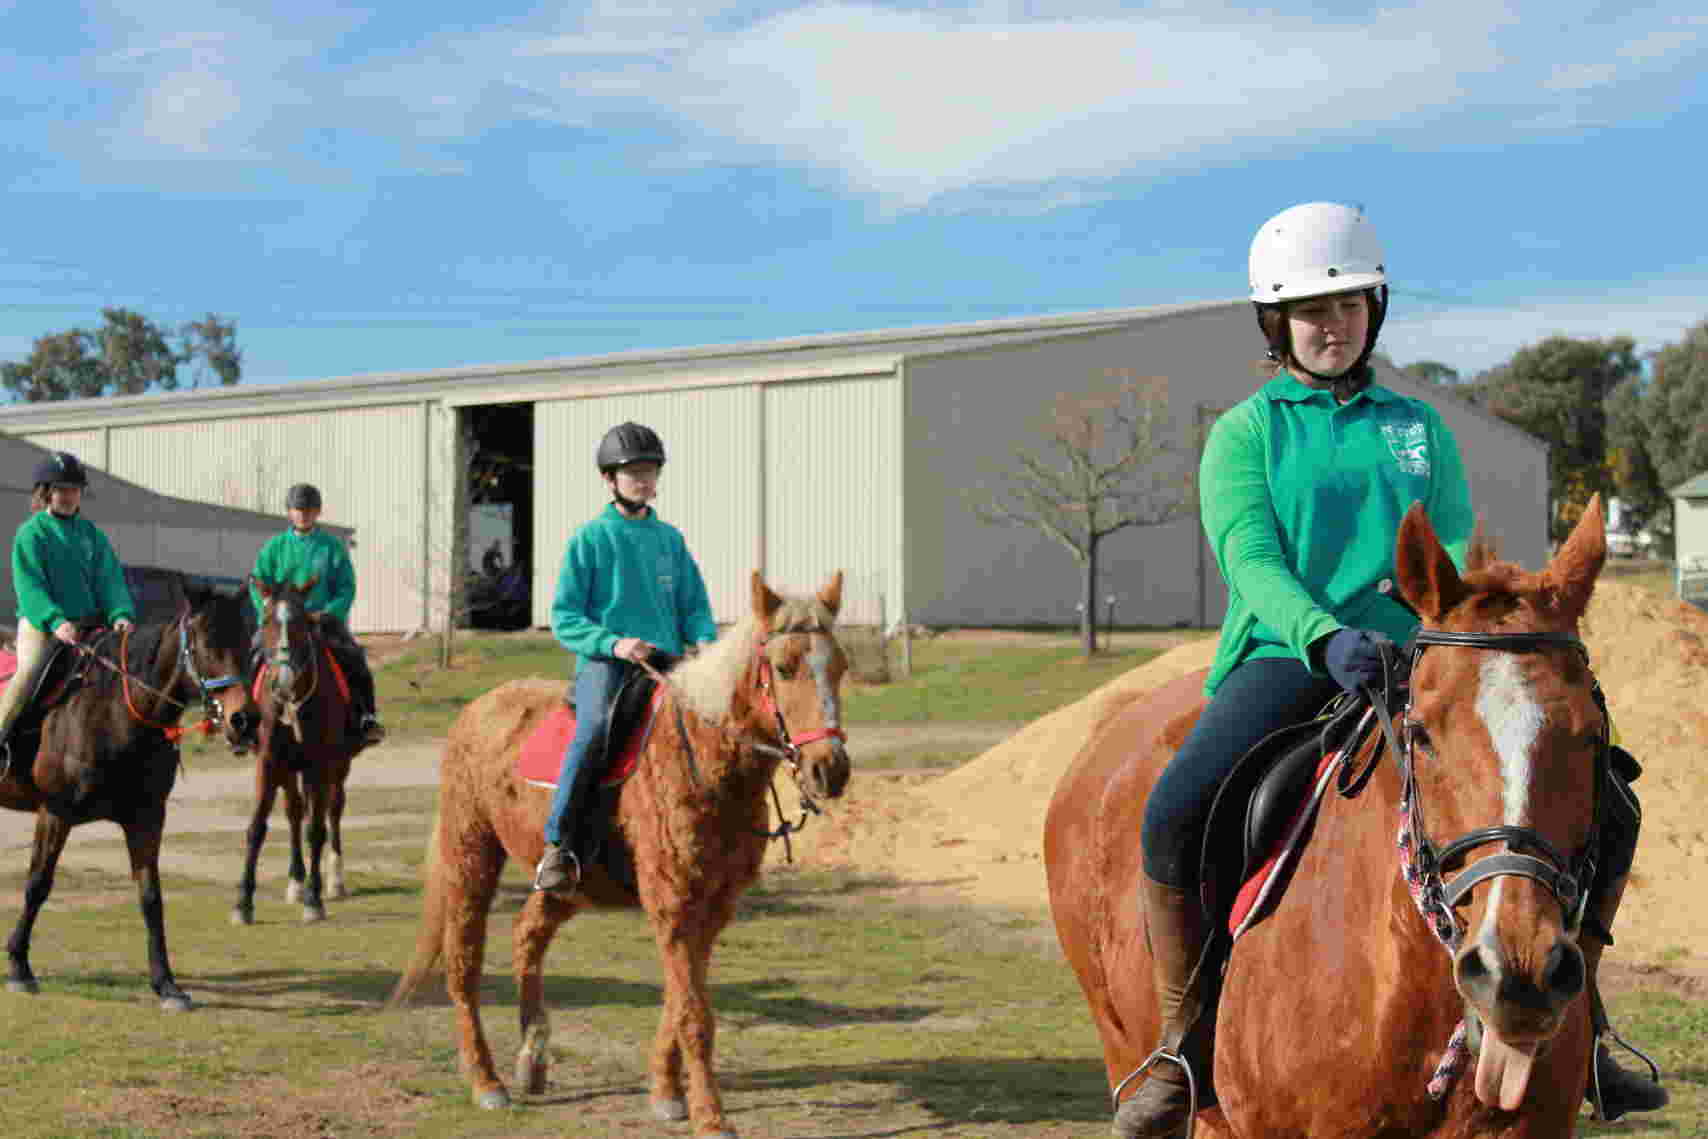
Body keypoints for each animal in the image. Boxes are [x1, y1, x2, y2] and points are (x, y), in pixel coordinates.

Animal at [0, 594, 259, 1010]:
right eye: (205, 645)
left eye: (247, 642)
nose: (245, 721)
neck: (112, 710)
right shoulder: (55, 813)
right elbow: (37, 885)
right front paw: (20, 968)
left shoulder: (147, 818)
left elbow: (151, 897)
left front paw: (166, 984)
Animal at [233, 580, 363, 928]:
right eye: (266, 621)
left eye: (302, 623)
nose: (283, 679)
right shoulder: (268, 763)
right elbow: (256, 829)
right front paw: (243, 903)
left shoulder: (319, 765)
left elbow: (316, 830)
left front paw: (314, 900)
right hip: (289, 769)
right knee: (294, 812)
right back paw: (296, 880)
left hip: (337, 767)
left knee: (333, 810)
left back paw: (334, 881)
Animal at [394, 573, 860, 1133]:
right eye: (786, 668)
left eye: (839, 666)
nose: (829, 770)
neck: (704, 760)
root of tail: (479, 709)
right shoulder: (673, 905)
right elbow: (694, 1014)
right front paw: (711, 1118)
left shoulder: (712, 909)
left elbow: (680, 1002)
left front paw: (667, 1093)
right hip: (470, 856)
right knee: (464, 962)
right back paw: (487, 1081)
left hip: (566, 884)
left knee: (528, 934)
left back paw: (532, 1057)